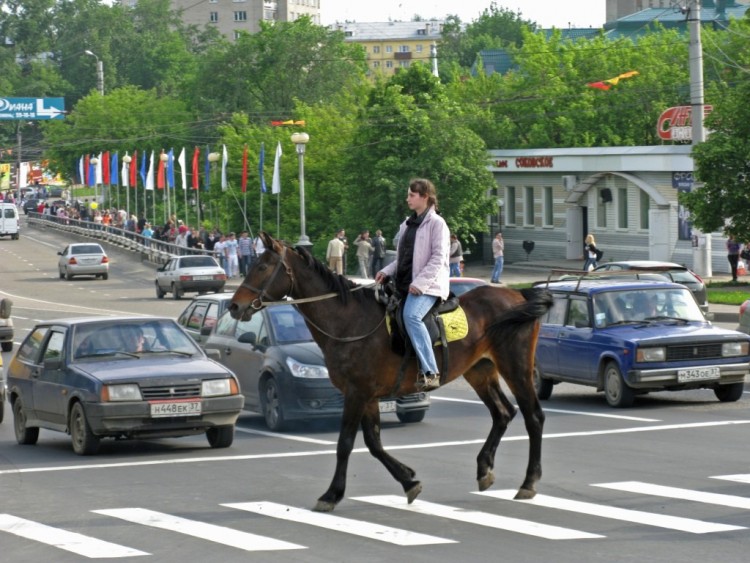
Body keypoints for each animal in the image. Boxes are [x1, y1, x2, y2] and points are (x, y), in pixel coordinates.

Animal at [232, 231, 556, 512]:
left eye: (262, 266)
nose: (235, 306)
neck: (349, 321)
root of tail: (517, 296)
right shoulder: (368, 396)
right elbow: (374, 443)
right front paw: (409, 480)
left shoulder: (357, 392)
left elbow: (345, 443)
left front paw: (332, 494)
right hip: (479, 371)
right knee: (503, 413)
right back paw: (484, 468)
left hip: (516, 367)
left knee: (533, 417)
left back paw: (529, 481)